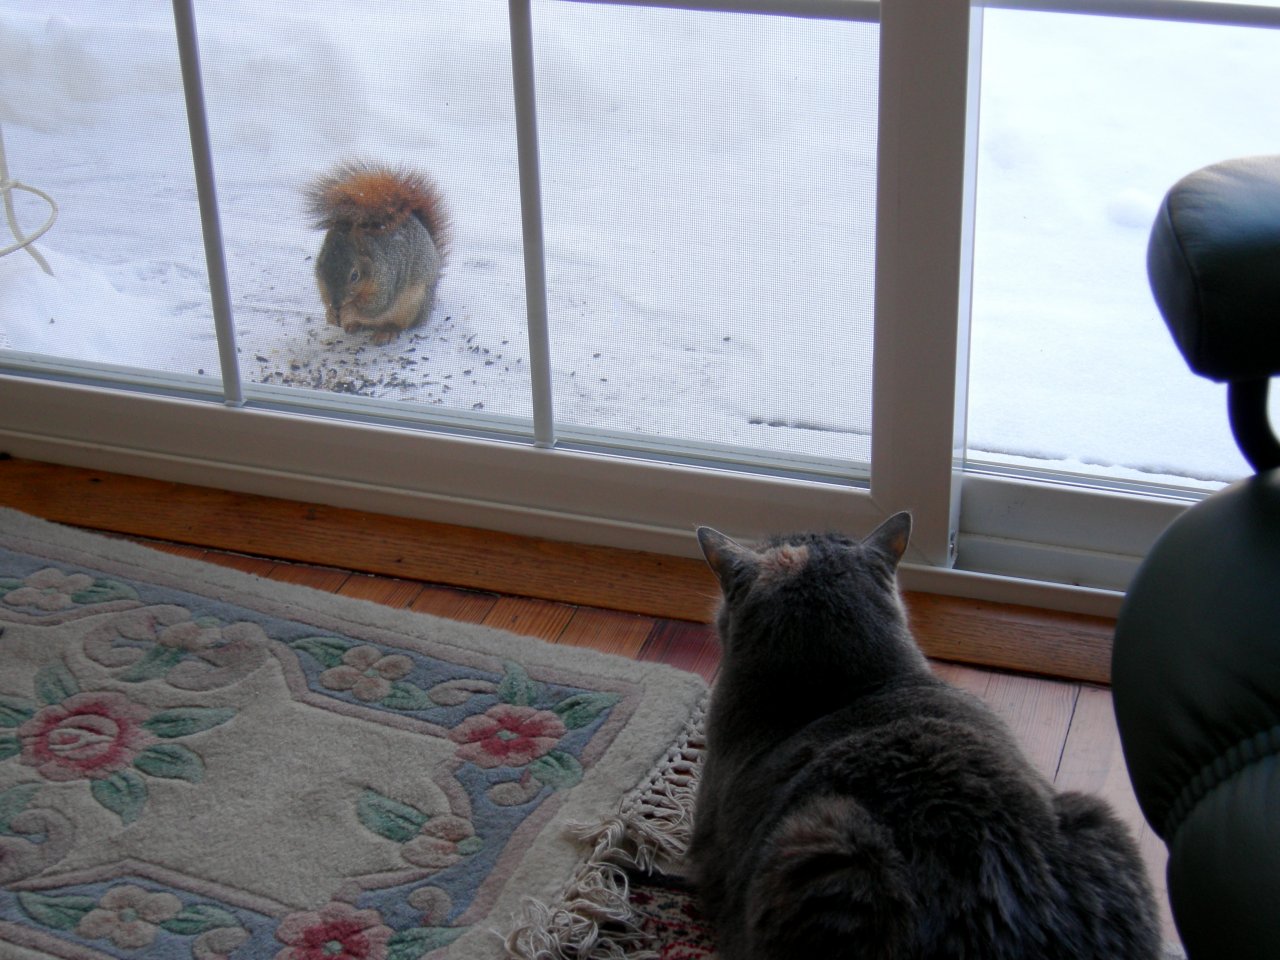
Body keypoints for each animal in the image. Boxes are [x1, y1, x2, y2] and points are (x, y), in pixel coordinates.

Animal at [306, 161, 451, 346]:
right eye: (321, 267)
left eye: (355, 276)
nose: (337, 303)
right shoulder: (323, 285)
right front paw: (330, 313)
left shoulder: (387, 279)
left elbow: (375, 306)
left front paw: (349, 310)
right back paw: (353, 325)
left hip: (413, 304)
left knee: (400, 324)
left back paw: (386, 331)